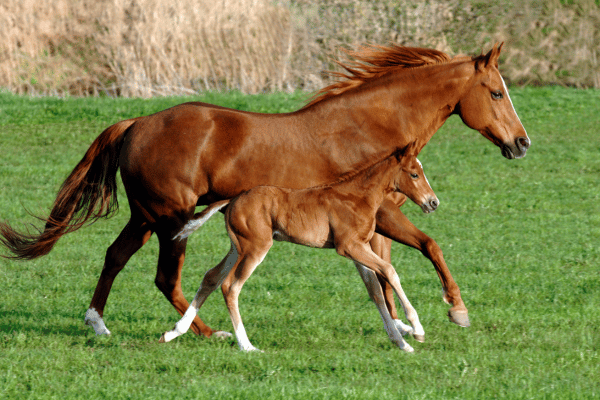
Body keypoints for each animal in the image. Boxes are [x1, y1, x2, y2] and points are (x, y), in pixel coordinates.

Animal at [161, 142, 436, 352]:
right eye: (414, 174)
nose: (433, 202)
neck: (359, 196)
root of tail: (233, 199)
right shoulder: (348, 246)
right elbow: (390, 271)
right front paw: (417, 329)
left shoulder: (359, 249)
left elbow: (375, 291)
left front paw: (401, 343)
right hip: (255, 248)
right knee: (230, 286)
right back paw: (247, 346)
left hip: (237, 247)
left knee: (211, 277)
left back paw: (174, 332)